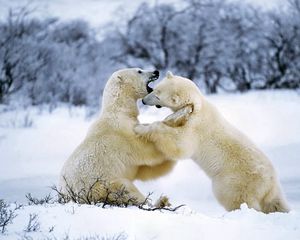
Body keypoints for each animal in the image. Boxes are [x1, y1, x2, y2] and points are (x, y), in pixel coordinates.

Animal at [58, 68, 176, 205]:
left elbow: (145, 170)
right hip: (101, 185)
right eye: (139, 71)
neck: (119, 111)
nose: (156, 71)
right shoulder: (123, 134)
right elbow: (147, 152)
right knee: (125, 189)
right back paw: (160, 201)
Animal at [135, 71, 290, 214]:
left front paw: (142, 128)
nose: (143, 101)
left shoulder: (196, 128)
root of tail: (270, 183)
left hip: (235, 180)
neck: (198, 106)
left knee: (235, 198)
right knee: (275, 203)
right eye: (155, 89)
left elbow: (180, 144)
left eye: (157, 95)